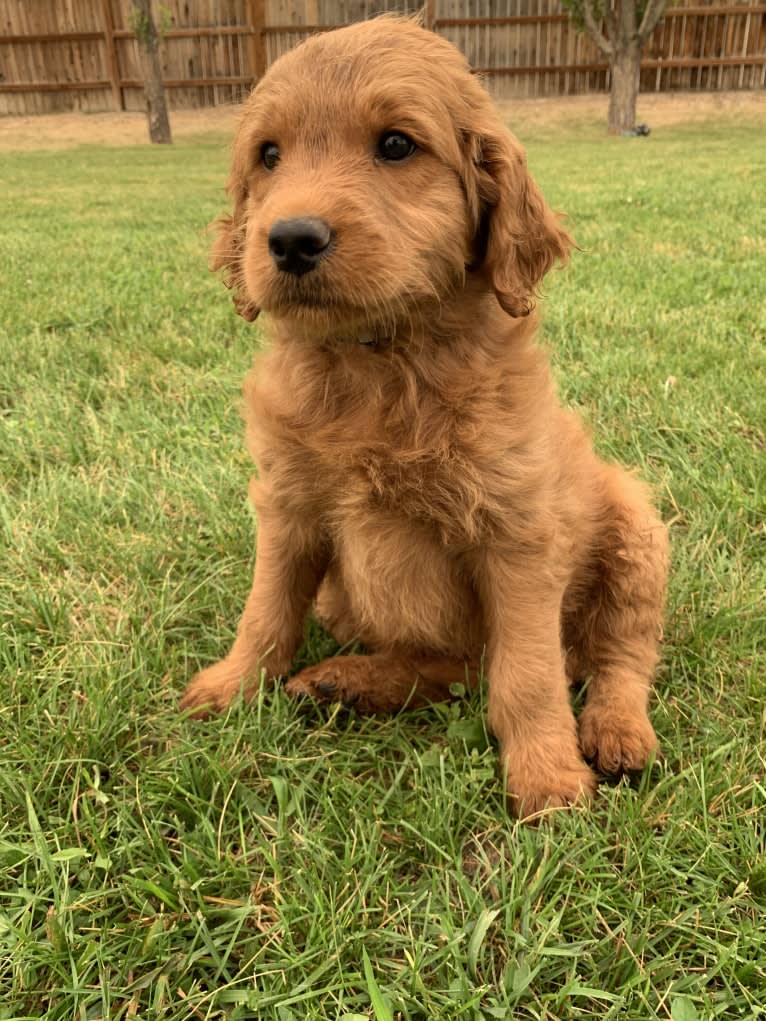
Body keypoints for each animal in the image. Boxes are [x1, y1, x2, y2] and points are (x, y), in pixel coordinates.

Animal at [178, 15, 665, 816]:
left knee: (617, 653)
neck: (381, 363)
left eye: (397, 146)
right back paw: (347, 681)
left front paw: (548, 777)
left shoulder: (517, 534)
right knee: (453, 667)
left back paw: (618, 731)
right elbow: (266, 611)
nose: (290, 239)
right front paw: (231, 685)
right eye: (269, 155)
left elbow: (529, 674)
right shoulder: (289, 508)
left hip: (635, 528)